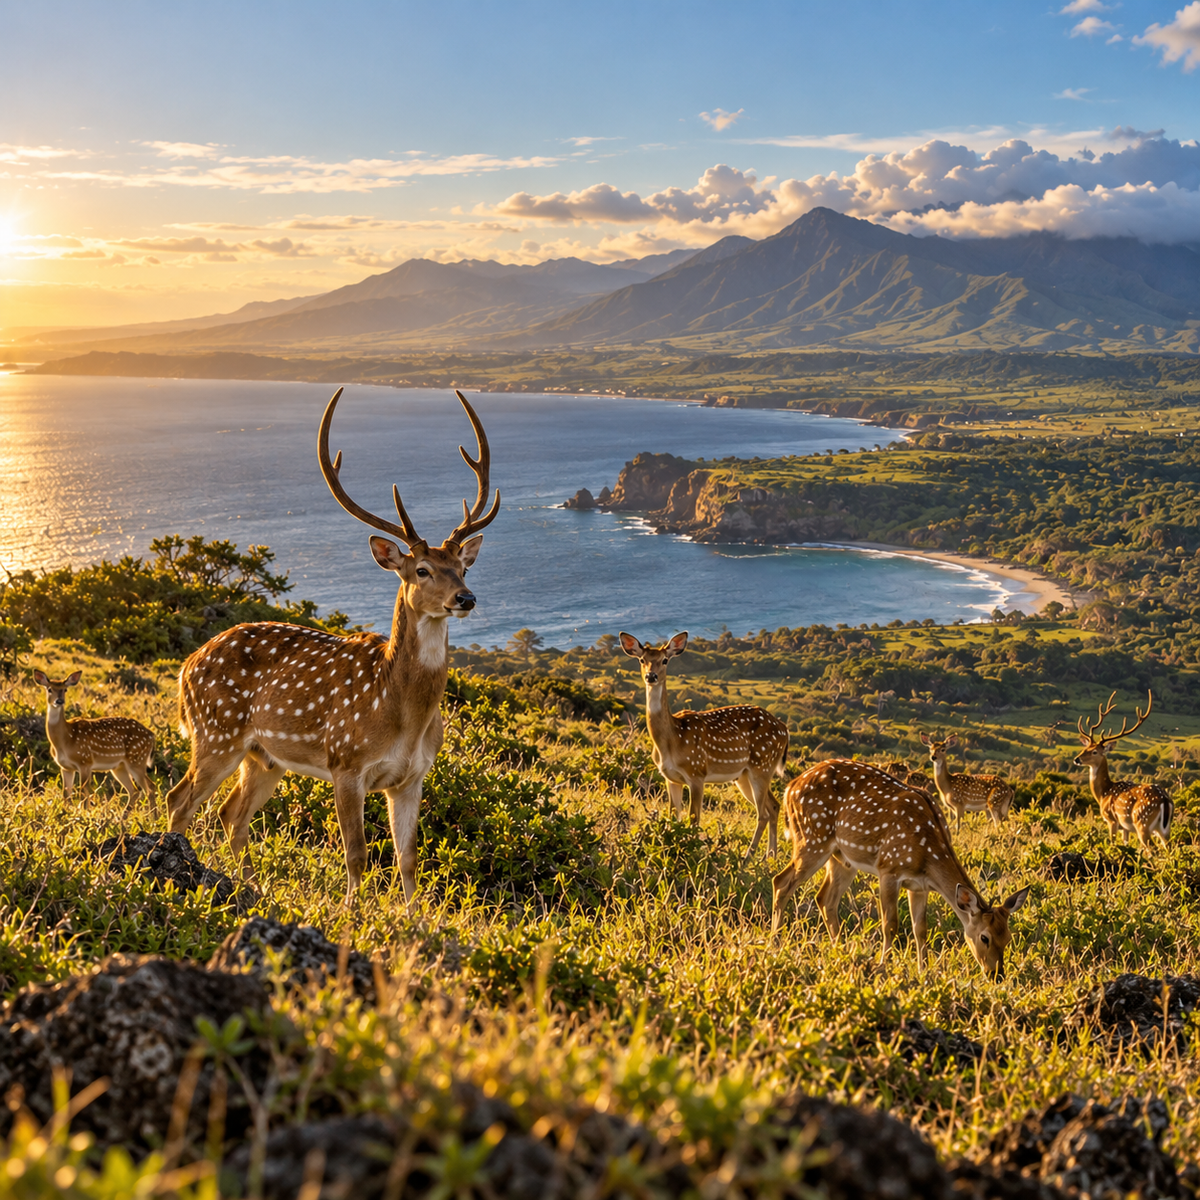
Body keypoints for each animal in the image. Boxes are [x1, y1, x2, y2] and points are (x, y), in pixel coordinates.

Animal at [32, 669, 155, 807]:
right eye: (49, 689)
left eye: (65, 689)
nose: (59, 701)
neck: (65, 739)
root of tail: (152, 735)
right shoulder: (65, 767)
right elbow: (66, 795)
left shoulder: (85, 761)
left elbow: (83, 794)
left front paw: (83, 811)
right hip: (120, 766)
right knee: (134, 791)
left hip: (137, 759)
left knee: (150, 787)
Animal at [164, 388, 500, 903]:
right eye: (421, 570)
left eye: (462, 568)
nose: (466, 598)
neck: (401, 716)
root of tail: (187, 665)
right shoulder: (346, 763)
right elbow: (357, 855)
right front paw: (352, 912)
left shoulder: (413, 777)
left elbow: (408, 859)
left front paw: (412, 915)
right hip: (215, 733)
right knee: (179, 798)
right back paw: (176, 867)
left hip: (264, 757)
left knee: (231, 814)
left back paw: (248, 887)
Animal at [618, 631, 788, 863]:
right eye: (642, 660)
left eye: (665, 660)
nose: (651, 676)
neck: (671, 740)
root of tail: (784, 729)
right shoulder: (670, 778)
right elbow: (674, 816)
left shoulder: (697, 772)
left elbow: (693, 819)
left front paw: (691, 853)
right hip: (745, 775)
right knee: (774, 806)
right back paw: (770, 857)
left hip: (762, 765)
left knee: (762, 814)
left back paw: (747, 859)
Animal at [770, 759, 1030, 978]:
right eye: (985, 938)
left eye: (1008, 938)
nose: (996, 975)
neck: (927, 854)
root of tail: (790, 788)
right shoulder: (888, 868)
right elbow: (890, 925)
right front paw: (883, 966)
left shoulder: (919, 885)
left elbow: (920, 929)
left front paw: (923, 971)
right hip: (812, 837)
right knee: (781, 882)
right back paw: (776, 942)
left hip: (842, 858)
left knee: (825, 898)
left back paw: (839, 950)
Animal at [1074, 691, 1172, 853]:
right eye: (1085, 748)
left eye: (1094, 752)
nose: (1077, 759)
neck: (1103, 793)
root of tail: (1164, 800)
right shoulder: (1125, 828)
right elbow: (1125, 845)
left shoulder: (1111, 820)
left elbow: (1112, 843)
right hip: (1164, 828)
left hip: (1142, 822)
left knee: (1153, 849)